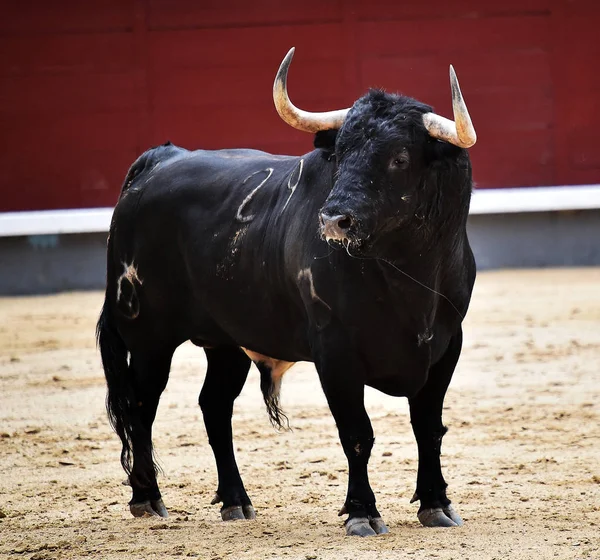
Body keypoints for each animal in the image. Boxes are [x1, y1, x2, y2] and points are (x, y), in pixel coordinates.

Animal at [96, 74, 476, 540]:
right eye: (341, 153)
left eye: (400, 158)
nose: (334, 220)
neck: (406, 276)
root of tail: (158, 161)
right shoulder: (336, 353)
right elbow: (357, 433)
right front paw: (362, 512)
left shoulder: (445, 347)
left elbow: (428, 428)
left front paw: (437, 504)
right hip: (149, 338)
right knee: (140, 405)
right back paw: (148, 498)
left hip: (225, 341)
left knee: (214, 406)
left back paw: (236, 501)